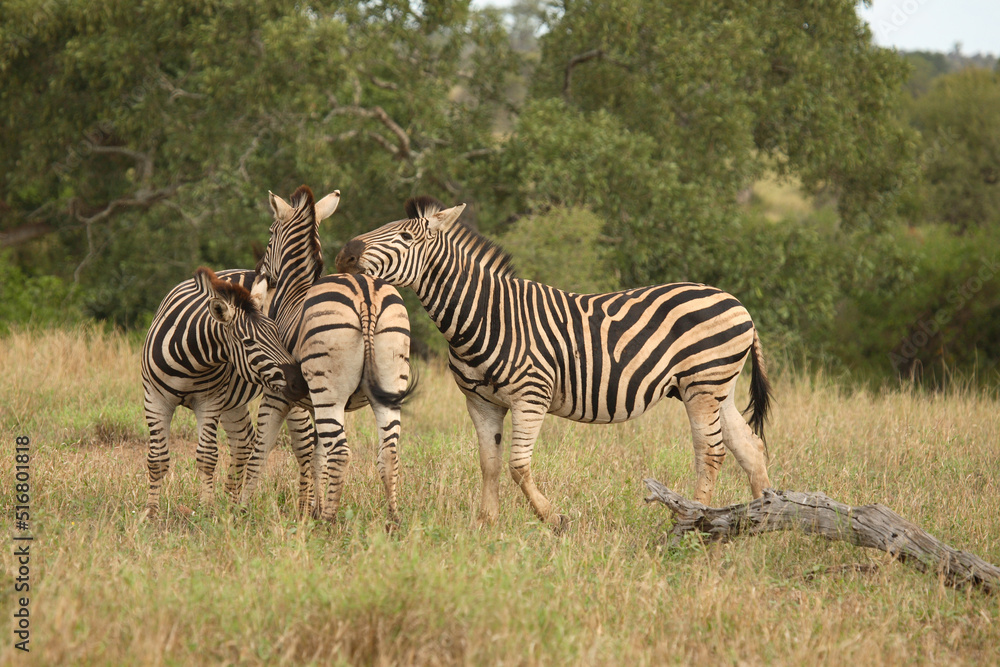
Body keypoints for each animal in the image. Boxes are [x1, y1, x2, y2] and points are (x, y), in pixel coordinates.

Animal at [141, 266, 310, 518]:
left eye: (277, 334)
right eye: (248, 342)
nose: (299, 382)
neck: (192, 359)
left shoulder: (209, 402)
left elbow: (207, 457)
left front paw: (206, 509)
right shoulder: (155, 398)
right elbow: (157, 459)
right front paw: (151, 512)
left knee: (305, 447)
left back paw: (306, 510)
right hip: (233, 402)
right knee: (243, 443)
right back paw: (232, 503)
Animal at [240, 185, 414, 525]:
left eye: (270, 234)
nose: (258, 272)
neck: (294, 292)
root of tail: (365, 295)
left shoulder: (279, 394)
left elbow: (265, 449)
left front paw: (239, 507)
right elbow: (316, 454)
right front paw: (314, 509)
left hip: (327, 391)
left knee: (340, 452)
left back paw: (331, 522)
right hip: (388, 382)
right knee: (388, 451)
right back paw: (393, 518)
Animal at [335, 197, 773, 531]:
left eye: (406, 237)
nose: (344, 253)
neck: (487, 315)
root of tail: (737, 303)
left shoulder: (531, 396)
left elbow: (517, 465)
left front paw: (553, 518)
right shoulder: (480, 402)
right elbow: (489, 463)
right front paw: (485, 524)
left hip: (702, 386)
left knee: (711, 452)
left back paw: (693, 521)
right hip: (716, 389)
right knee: (749, 448)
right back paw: (762, 522)